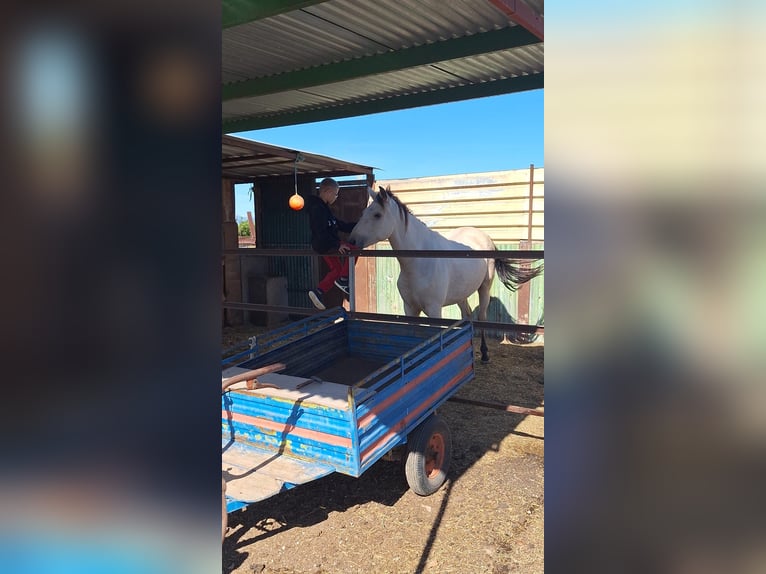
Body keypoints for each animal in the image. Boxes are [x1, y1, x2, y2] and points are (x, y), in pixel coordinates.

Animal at [352, 187, 544, 362]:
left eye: (377, 215)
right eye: (363, 213)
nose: (351, 240)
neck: (419, 261)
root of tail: (486, 238)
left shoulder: (434, 310)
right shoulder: (410, 308)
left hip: (484, 288)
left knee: (481, 316)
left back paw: (484, 354)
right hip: (461, 294)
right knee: (467, 315)